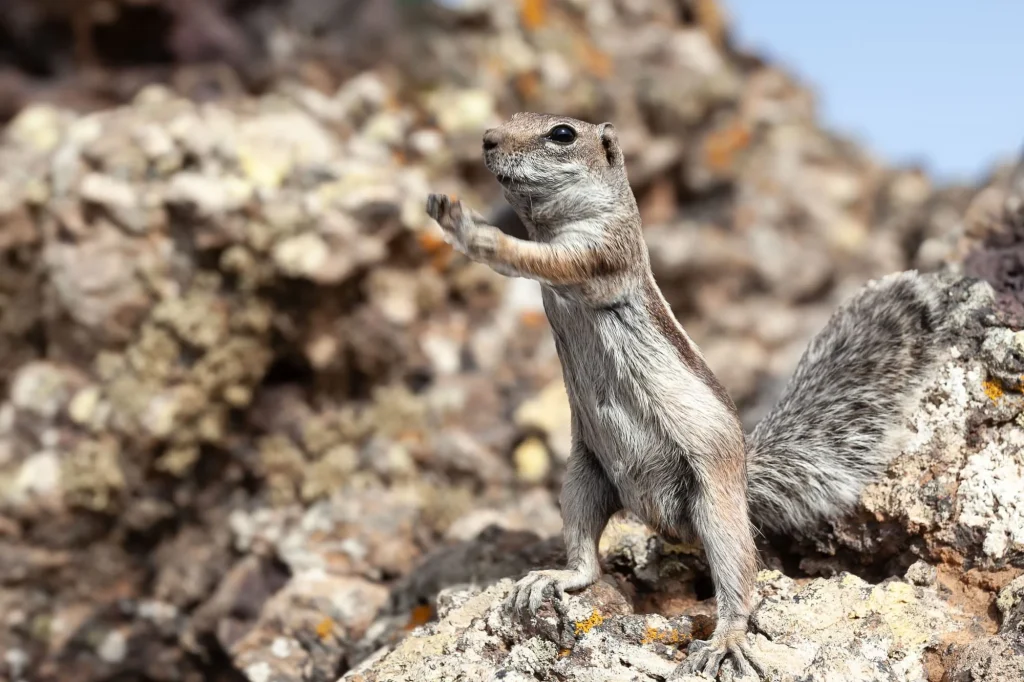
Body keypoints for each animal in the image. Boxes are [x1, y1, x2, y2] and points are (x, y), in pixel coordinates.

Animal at [425, 112, 965, 680]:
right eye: (508, 121)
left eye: (562, 134)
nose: (487, 140)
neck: (554, 221)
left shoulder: (601, 251)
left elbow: (540, 259)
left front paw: (467, 228)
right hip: (581, 480)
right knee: (586, 559)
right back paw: (557, 577)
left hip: (715, 507)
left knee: (739, 580)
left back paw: (725, 640)